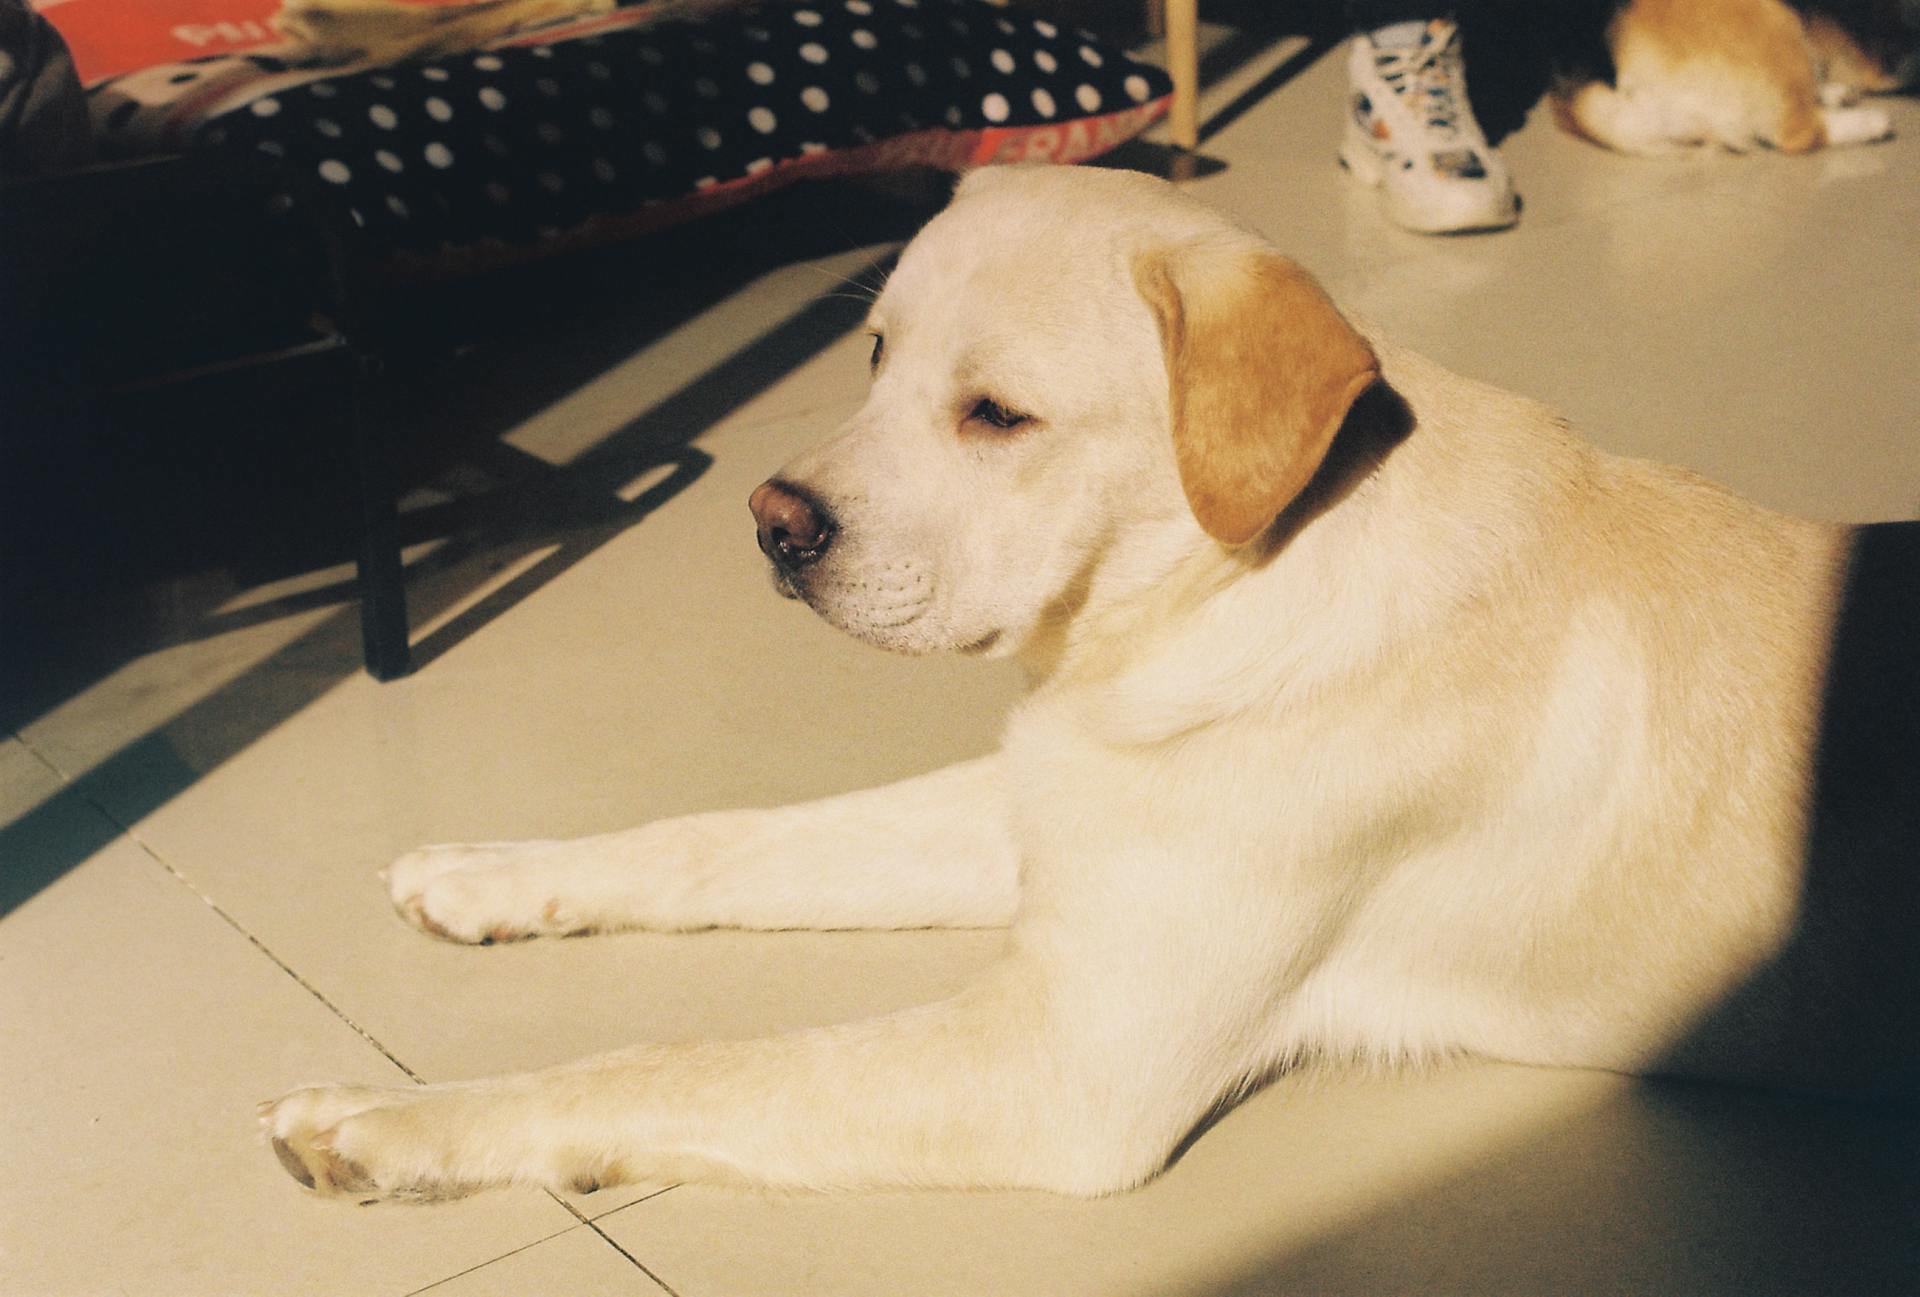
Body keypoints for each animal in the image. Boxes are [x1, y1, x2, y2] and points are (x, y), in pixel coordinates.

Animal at [266, 165, 1920, 1204]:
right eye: (874, 353)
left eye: (998, 414)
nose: (771, 525)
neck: (1211, 604)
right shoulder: (1037, 808)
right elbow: (724, 839)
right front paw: (491, 872)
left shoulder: (1067, 1065)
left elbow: (679, 1063)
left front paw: (390, 1117)